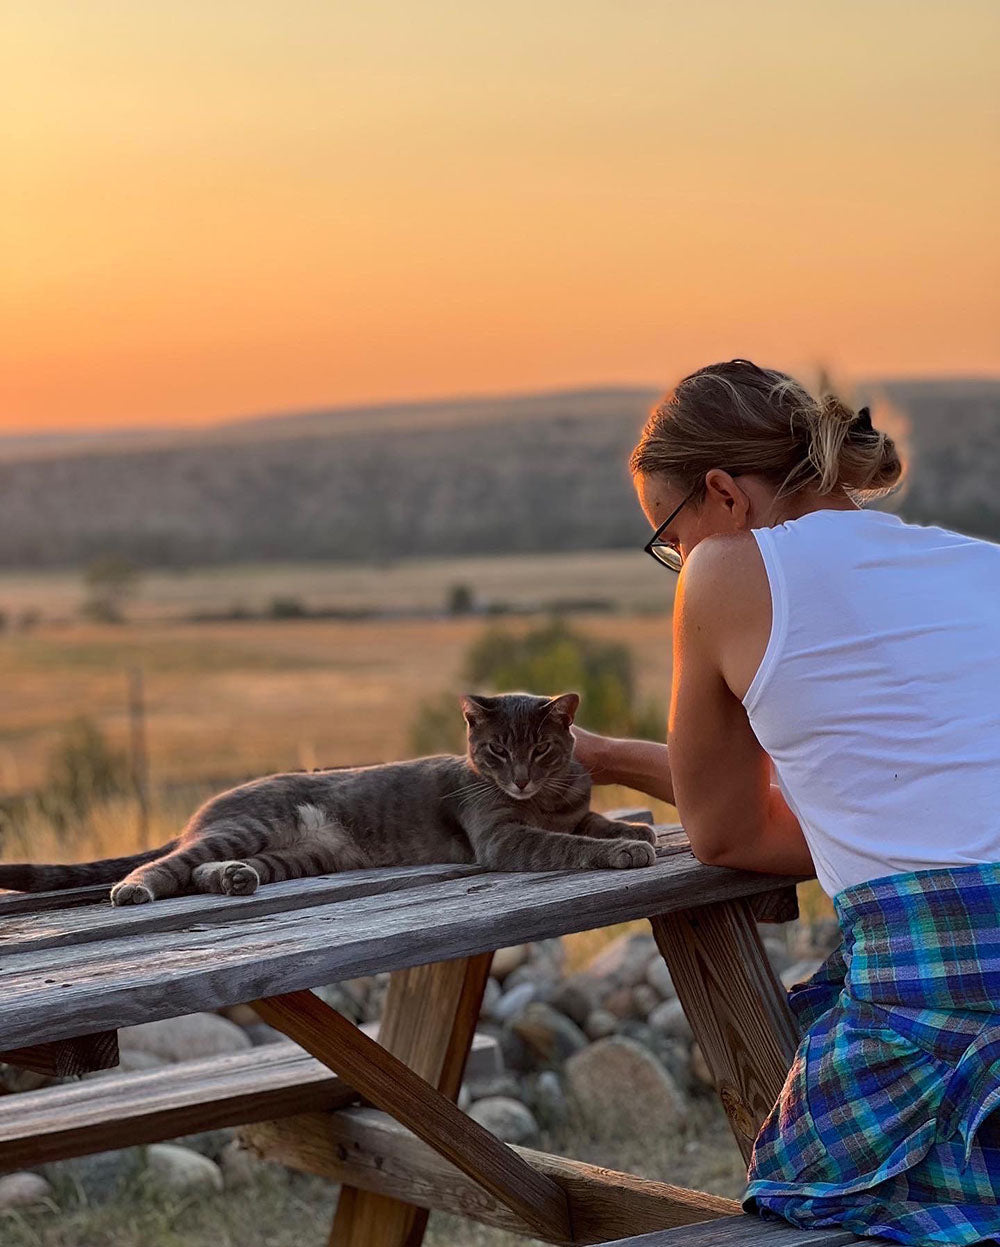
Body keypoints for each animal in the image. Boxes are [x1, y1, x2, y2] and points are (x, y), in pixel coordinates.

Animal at [0, 693, 653, 907]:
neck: (544, 798)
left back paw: (234, 880)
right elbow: (561, 844)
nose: (517, 779)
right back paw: (134, 889)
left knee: (206, 868)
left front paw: (635, 831)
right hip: (250, 825)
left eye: (540, 749)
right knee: (171, 862)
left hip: (304, 854)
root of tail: (204, 808)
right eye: (495, 750)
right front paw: (625, 851)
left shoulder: (571, 807)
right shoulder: (501, 836)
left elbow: (592, 822)